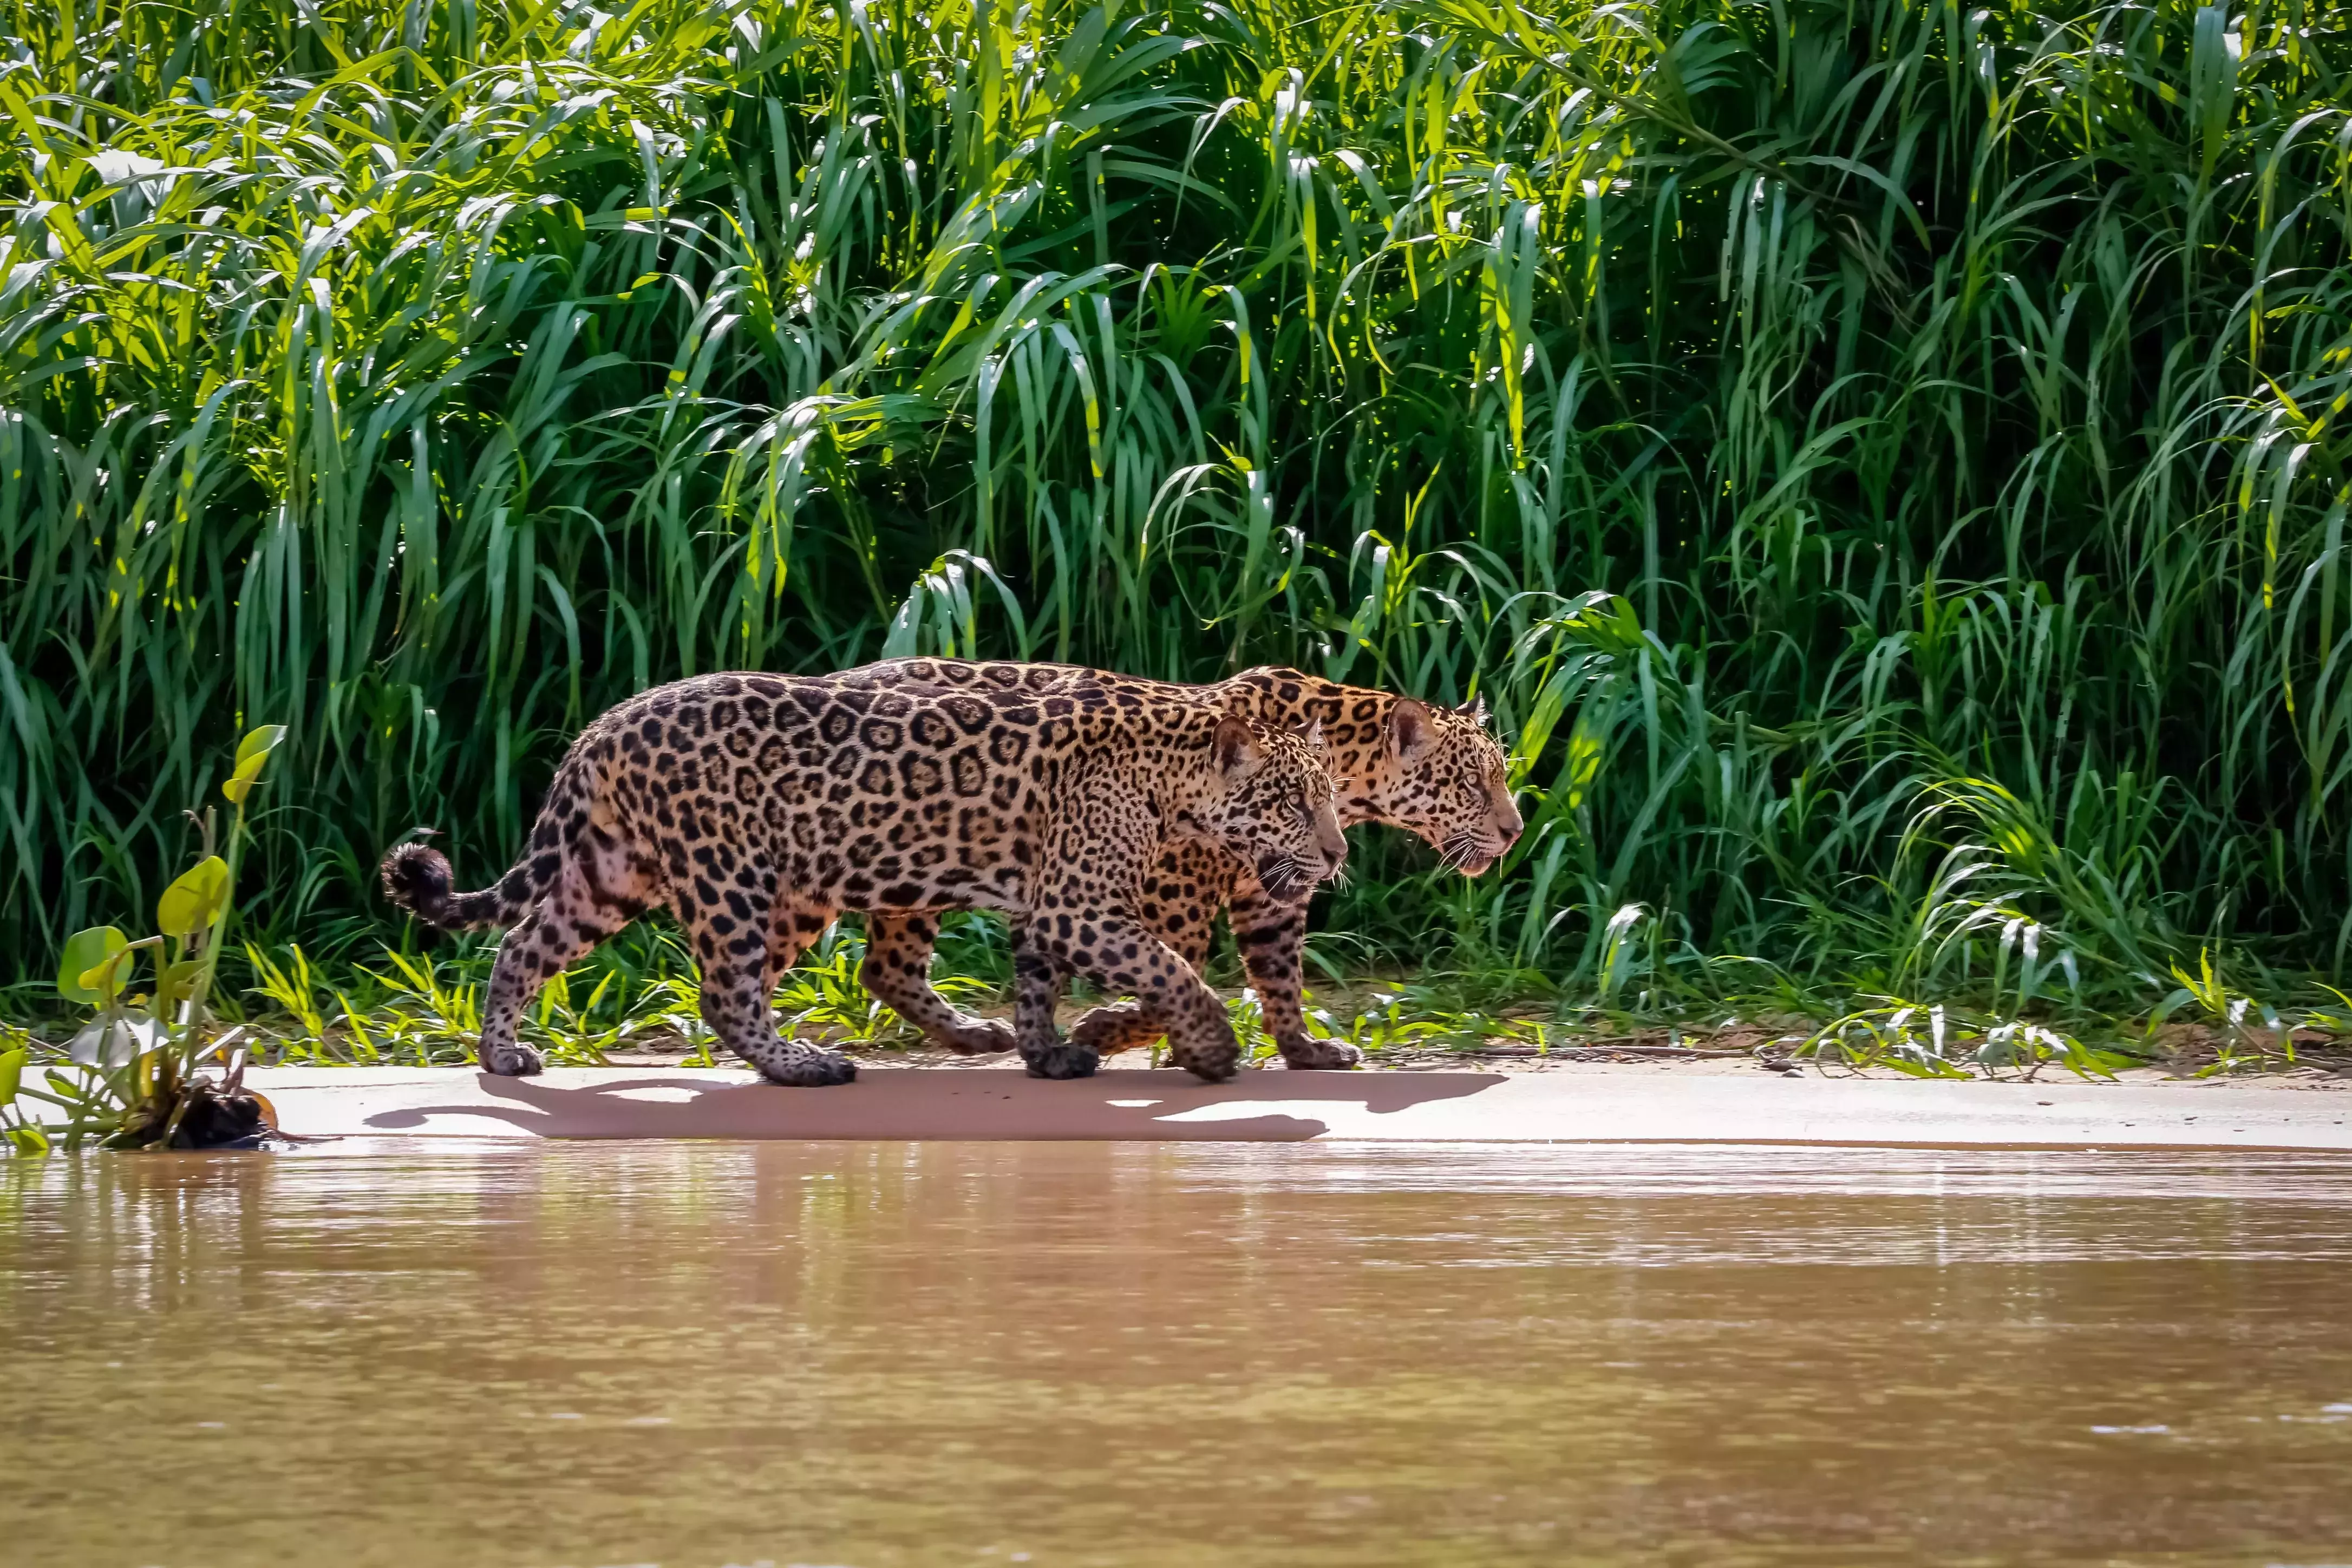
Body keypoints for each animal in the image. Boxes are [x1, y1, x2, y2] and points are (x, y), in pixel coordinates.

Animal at [379, 665, 1348, 1087]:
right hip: (729, 875)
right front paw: (1211, 1049)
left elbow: (1040, 984)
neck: (1174, 776)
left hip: (611, 872)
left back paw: (501, 1055)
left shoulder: (1048, 905)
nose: (1338, 854)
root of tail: (604, 723)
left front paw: (1047, 1053)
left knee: (523, 944)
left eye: (1330, 796)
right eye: (1293, 802)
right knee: (725, 990)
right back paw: (802, 1065)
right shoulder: (1078, 906)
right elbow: (1174, 971)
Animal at [838, 660, 1522, 1070]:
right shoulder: (1178, 886)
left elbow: (1280, 975)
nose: (1515, 831)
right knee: (887, 965)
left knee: (884, 968)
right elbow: (1177, 965)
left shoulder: (1271, 895)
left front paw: (1304, 1049)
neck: (1347, 766)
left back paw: (978, 1036)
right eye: (1471, 782)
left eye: (1500, 776)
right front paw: (1108, 1030)